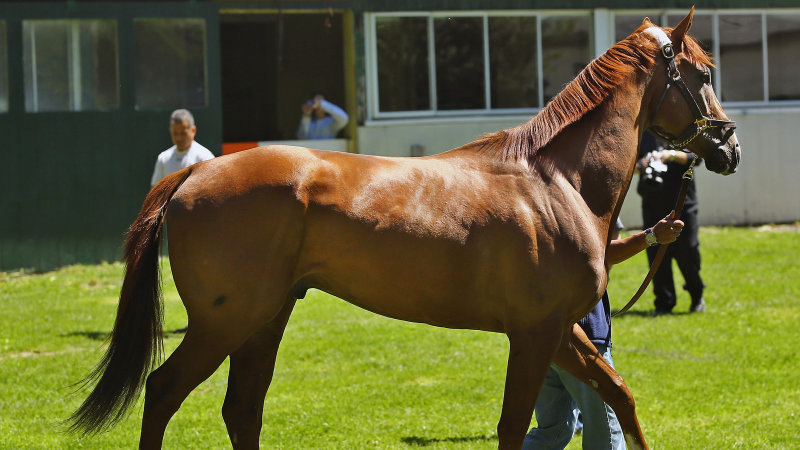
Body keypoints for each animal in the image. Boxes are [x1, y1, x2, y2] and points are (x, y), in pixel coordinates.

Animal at [70, 11, 736, 450]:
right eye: (703, 73)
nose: (728, 146)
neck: (555, 182)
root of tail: (195, 173)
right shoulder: (536, 332)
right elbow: (514, 424)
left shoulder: (557, 330)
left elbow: (618, 394)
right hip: (225, 322)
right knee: (164, 392)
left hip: (265, 318)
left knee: (242, 410)